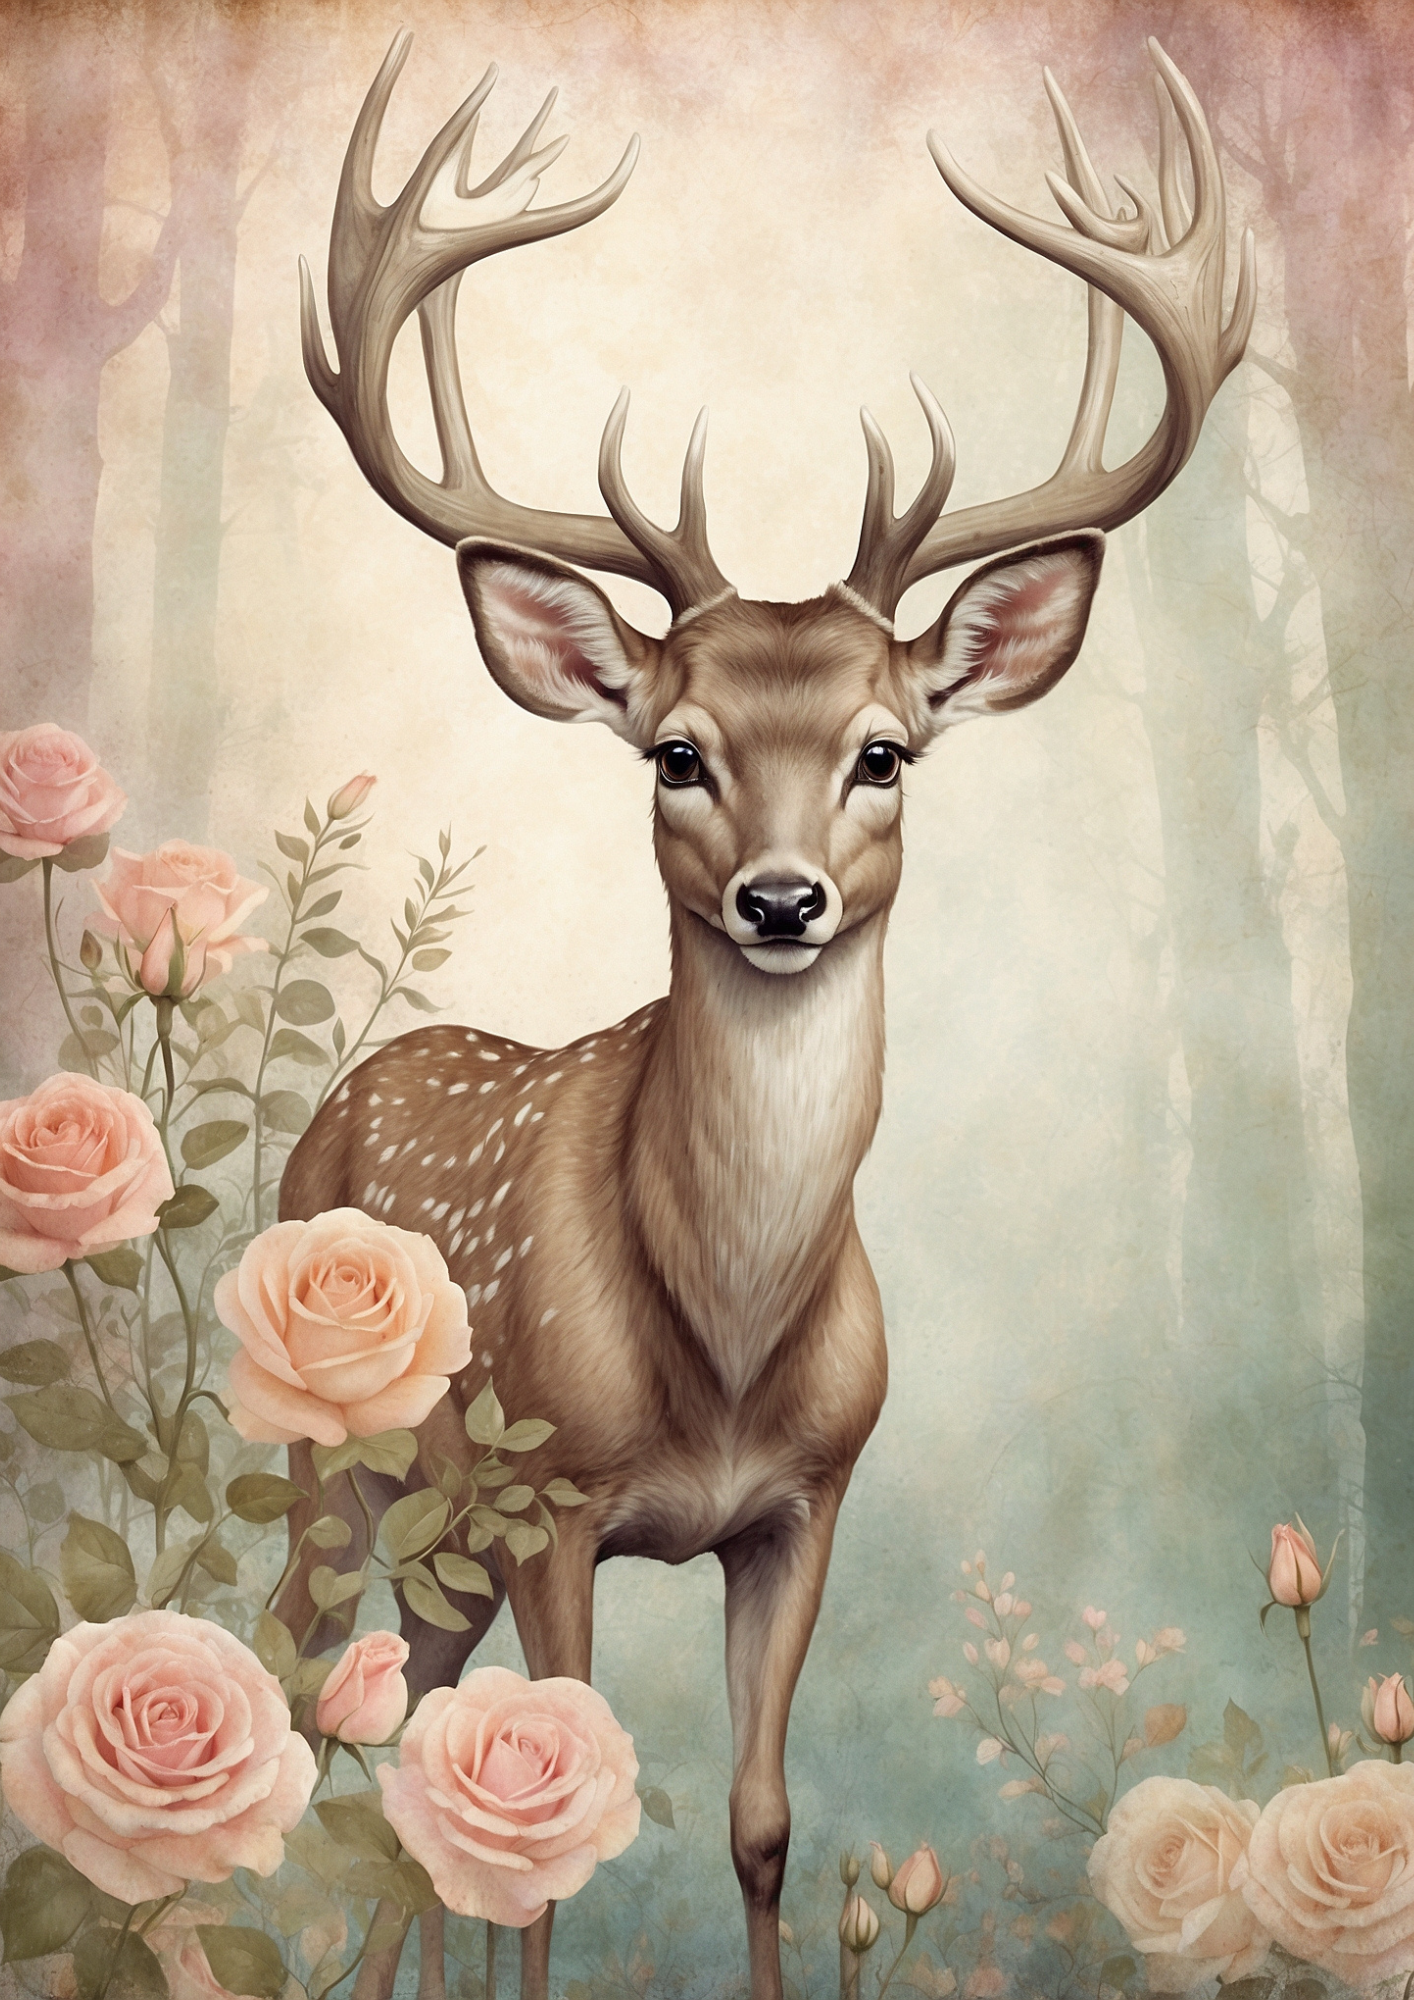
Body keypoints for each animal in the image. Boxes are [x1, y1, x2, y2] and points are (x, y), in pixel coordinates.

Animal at [276, 31, 1252, 2000]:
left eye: (883, 751)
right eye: (674, 751)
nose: (781, 900)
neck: (720, 1350)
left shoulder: (805, 1502)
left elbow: (757, 1823)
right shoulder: (556, 1499)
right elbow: (550, 1837)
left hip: (439, 1538)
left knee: (397, 1725)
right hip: (317, 1448)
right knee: (285, 1664)